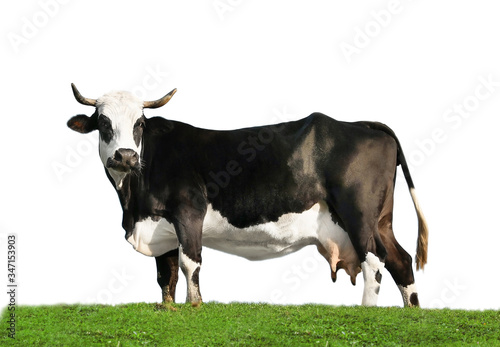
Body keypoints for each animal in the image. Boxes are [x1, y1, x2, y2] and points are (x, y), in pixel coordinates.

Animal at [66, 83, 428, 308]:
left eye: (140, 123)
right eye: (103, 122)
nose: (126, 156)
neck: (133, 201)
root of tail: (360, 124)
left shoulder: (188, 210)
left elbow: (189, 263)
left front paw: (195, 306)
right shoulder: (158, 226)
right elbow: (164, 276)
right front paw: (169, 309)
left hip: (358, 213)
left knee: (375, 261)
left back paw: (368, 310)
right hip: (381, 219)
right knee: (400, 260)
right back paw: (412, 313)